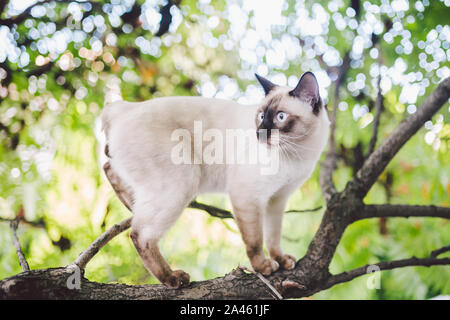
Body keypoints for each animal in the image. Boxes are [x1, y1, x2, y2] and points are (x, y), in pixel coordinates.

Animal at [102, 72, 330, 288]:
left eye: (281, 117)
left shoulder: (277, 200)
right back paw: (173, 278)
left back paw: (129, 202)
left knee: (109, 166)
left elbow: (273, 237)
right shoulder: (248, 196)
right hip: (182, 183)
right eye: (261, 116)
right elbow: (255, 241)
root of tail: (123, 108)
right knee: (140, 235)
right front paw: (263, 267)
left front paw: (281, 260)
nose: (259, 133)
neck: (297, 153)